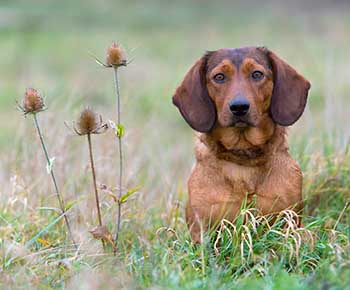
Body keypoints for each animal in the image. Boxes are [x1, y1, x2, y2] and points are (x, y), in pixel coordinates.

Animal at [172, 47, 308, 242]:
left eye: (257, 74)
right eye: (219, 76)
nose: (239, 107)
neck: (243, 155)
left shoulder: (288, 218)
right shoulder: (203, 228)